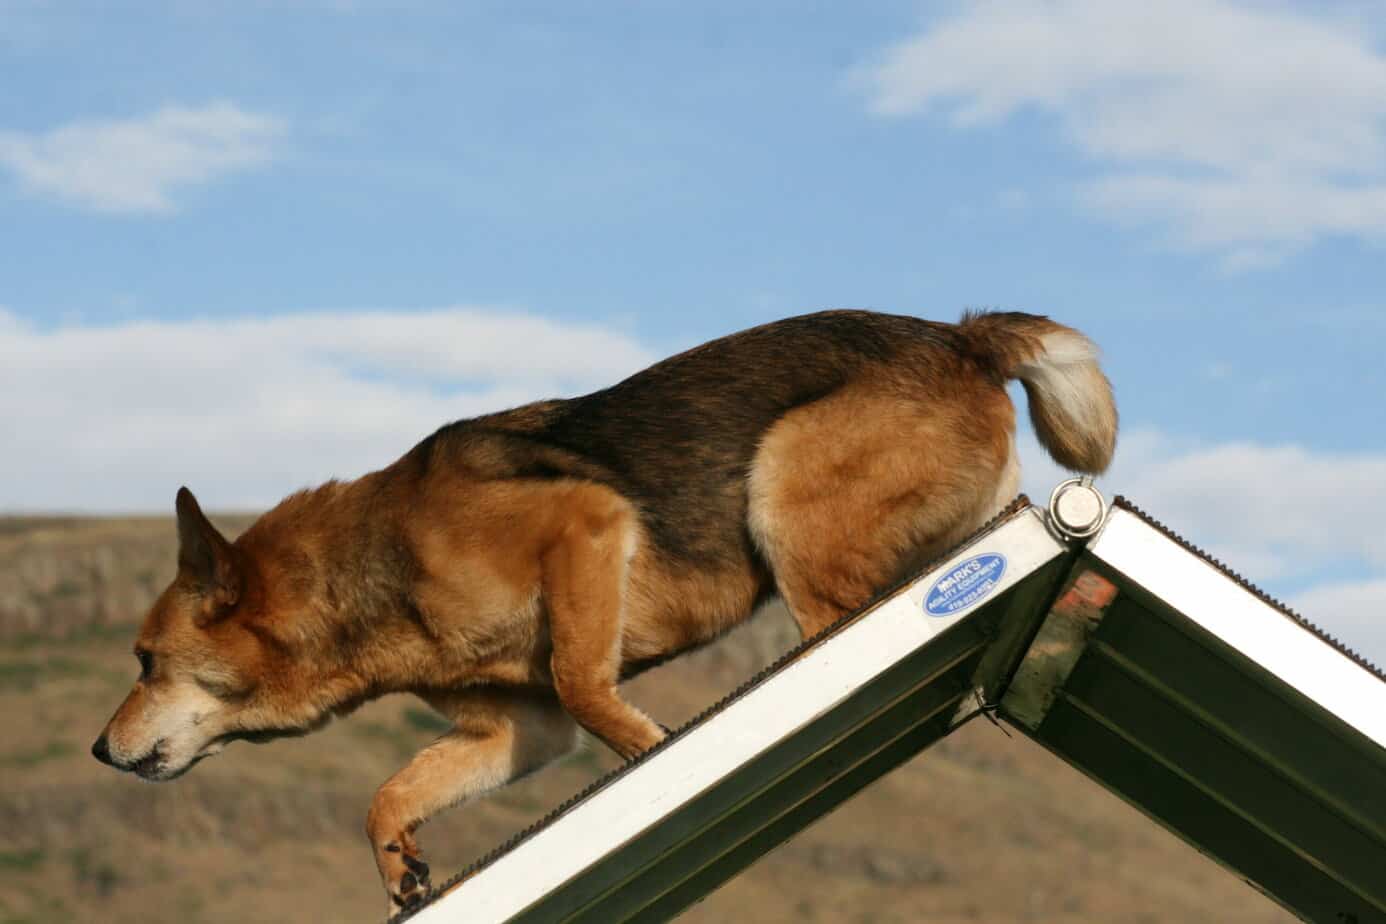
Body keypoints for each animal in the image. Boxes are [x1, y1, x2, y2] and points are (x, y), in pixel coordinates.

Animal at [92, 308, 1114, 908]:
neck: (378, 576)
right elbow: (390, 791)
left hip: (781, 493)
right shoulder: (516, 733)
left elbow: (589, 684)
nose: (99, 751)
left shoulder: (585, 528)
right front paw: (399, 866)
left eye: (144, 661)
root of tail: (961, 333)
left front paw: (657, 755)